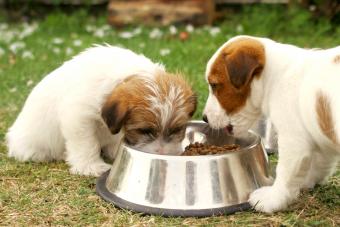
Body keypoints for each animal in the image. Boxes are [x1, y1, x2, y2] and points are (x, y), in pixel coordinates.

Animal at [6, 45, 197, 177]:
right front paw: (91, 167)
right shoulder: (79, 117)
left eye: (178, 129)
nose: (164, 153)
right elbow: (87, 144)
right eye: (144, 130)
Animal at [203, 35, 338, 213]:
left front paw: (273, 198)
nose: (204, 117)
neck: (274, 77)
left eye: (214, 85)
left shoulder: (293, 141)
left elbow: (286, 172)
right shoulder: (318, 133)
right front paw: (305, 182)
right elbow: (319, 162)